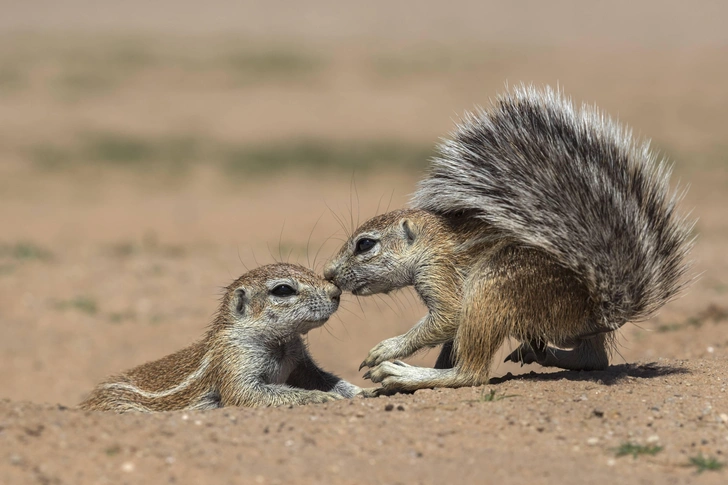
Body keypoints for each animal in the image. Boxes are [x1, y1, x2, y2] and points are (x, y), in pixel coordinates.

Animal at [79, 262, 362, 410]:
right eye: (283, 290)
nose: (336, 293)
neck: (280, 344)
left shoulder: (301, 361)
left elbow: (326, 378)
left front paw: (363, 391)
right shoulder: (233, 362)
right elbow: (248, 394)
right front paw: (318, 397)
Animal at [324, 85, 692, 392]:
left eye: (365, 244)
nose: (329, 273)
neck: (432, 241)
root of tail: (599, 306)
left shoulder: (440, 273)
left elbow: (448, 318)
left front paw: (386, 350)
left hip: (490, 290)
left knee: (471, 374)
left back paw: (406, 376)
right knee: (593, 358)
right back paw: (543, 355)